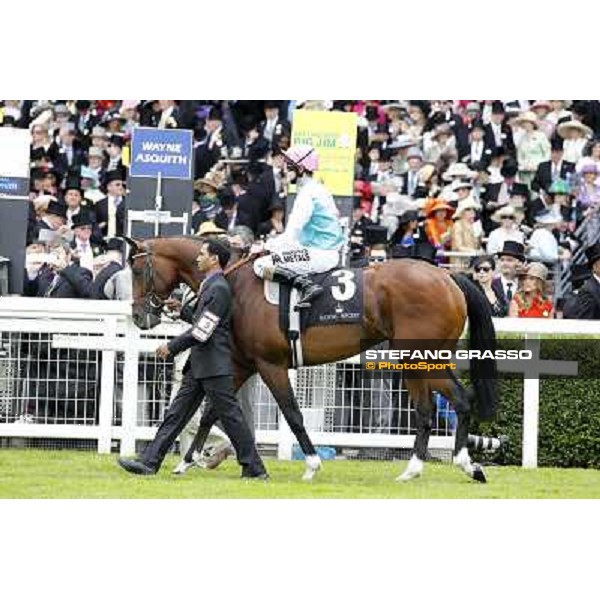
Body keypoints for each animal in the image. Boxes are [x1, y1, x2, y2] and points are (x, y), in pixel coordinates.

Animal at [123, 234, 496, 482]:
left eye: (138, 270)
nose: (140, 317)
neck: (237, 281)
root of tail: (448, 276)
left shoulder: (270, 364)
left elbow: (292, 413)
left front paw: (312, 463)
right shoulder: (240, 363)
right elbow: (210, 412)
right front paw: (189, 460)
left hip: (416, 357)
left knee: (451, 401)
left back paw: (452, 464)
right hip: (421, 359)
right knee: (438, 406)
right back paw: (429, 467)